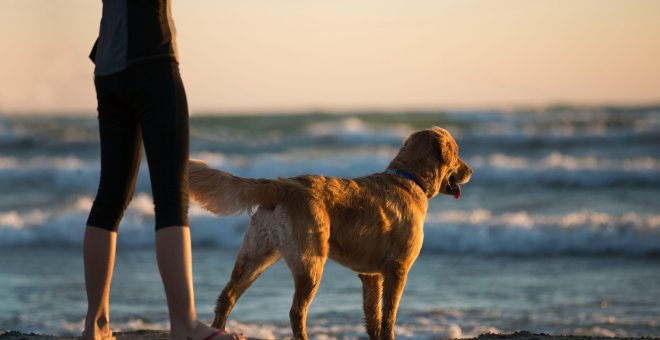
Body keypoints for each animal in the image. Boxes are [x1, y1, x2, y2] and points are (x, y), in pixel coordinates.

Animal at [188, 127, 472, 340]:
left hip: (256, 255)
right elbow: (389, 315)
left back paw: (219, 331)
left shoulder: (371, 276)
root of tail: (283, 185)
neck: (409, 178)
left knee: (227, 296)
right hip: (310, 262)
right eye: (458, 154)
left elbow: (374, 317)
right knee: (296, 311)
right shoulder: (397, 268)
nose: (471, 171)